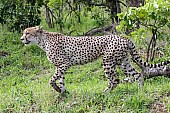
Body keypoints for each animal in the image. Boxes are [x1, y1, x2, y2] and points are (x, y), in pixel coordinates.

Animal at [20, 26, 169, 93]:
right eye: (24, 33)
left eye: (28, 33)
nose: (21, 38)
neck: (42, 41)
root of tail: (124, 38)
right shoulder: (61, 66)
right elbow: (61, 79)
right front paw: (62, 92)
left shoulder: (64, 64)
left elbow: (51, 79)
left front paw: (57, 89)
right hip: (124, 62)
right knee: (137, 74)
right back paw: (140, 91)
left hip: (108, 62)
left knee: (115, 80)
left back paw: (106, 92)